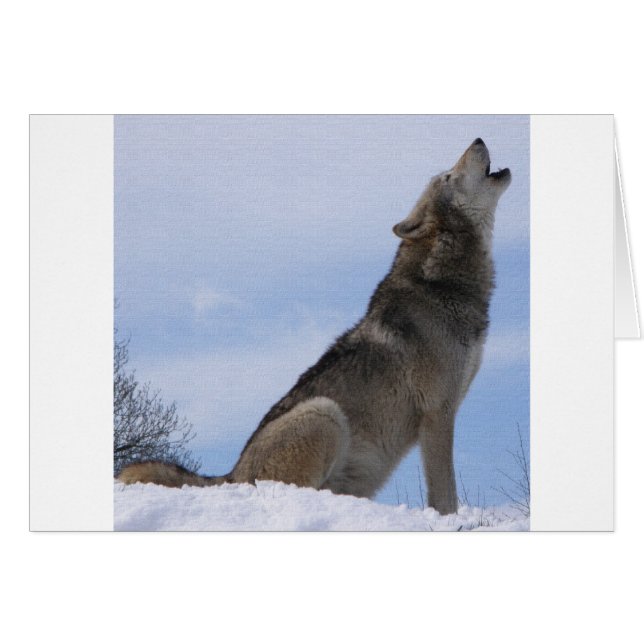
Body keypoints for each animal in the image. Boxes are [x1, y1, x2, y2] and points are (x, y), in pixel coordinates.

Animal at [117, 138, 511, 515]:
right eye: (447, 176)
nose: (478, 138)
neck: (442, 284)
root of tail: (230, 475)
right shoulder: (437, 413)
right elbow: (445, 495)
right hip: (325, 413)